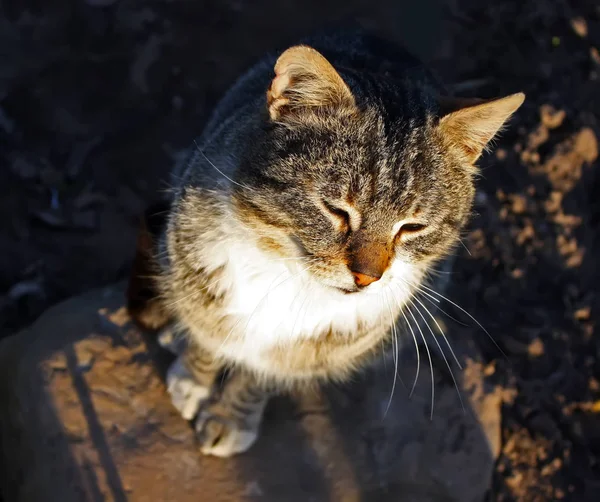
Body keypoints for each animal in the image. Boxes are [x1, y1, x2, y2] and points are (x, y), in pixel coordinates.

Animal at [127, 29, 524, 456]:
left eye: (412, 227)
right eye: (337, 210)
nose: (368, 277)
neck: (287, 280)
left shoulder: (303, 353)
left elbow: (257, 378)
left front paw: (230, 418)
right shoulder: (199, 268)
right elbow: (206, 336)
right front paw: (192, 376)